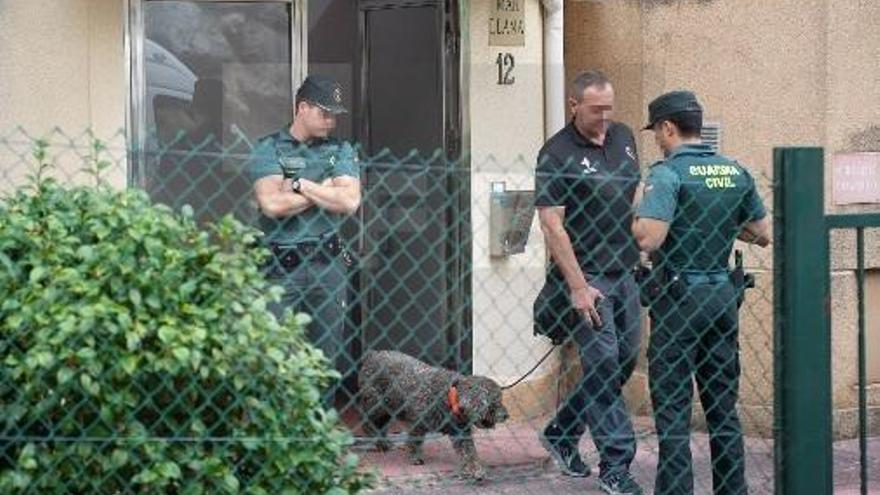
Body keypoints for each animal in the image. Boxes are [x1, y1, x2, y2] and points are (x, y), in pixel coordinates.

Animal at [358, 348, 508, 480]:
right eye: (495, 403)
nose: (506, 415)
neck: (450, 398)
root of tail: (372, 354)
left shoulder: (461, 433)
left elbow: (469, 453)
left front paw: (475, 469)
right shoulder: (417, 423)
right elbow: (415, 441)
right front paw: (415, 457)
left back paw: (383, 443)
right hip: (377, 405)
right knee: (367, 421)